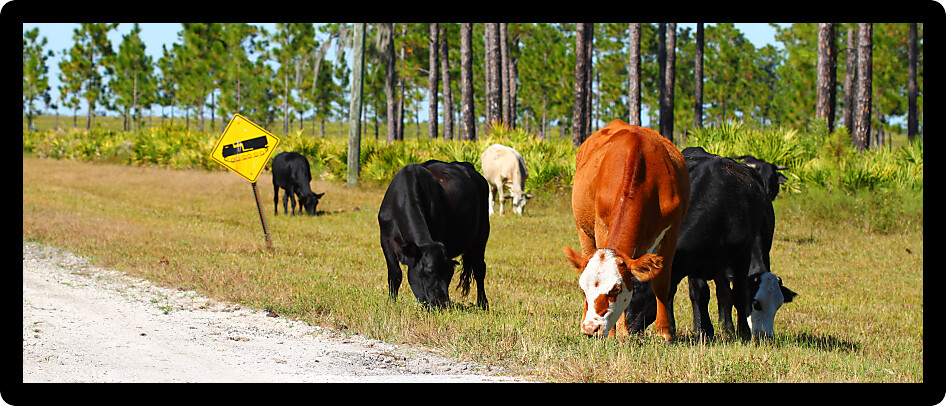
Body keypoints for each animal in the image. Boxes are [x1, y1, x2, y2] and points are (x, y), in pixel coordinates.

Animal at [378, 160, 490, 310]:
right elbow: (395, 274)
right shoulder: (385, 240)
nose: (442, 303)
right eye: (430, 270)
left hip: (482, 236)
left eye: (450, 273)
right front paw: (391, 302)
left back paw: (483, 304)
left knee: (479, 269)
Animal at [564, 120, 690, 341]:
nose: (590, 328)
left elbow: (661, 283)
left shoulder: (671, 231)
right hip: (583, 229)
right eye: (582, 288)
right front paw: (616, 333)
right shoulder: (601, 226)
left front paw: (664, 332)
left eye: (616, 288)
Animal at [626, 146, 797, 340]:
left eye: (778, 305)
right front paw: (705, 330)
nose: (765, 335)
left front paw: (741, 331)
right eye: (756, 304)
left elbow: (736, 294)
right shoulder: (694, 260)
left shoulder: (740, 257)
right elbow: (701, 293)